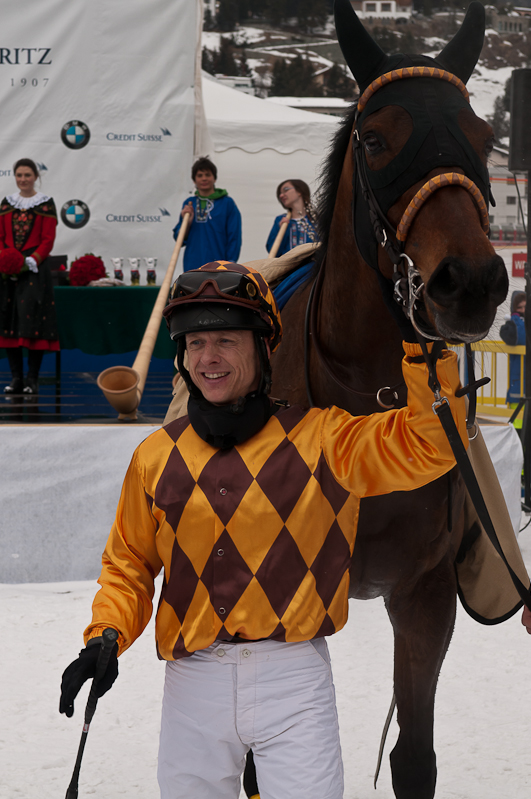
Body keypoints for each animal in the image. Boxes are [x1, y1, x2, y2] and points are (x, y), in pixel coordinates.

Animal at [270, 1, 512, 799]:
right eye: (375, 140)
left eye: (485, 139)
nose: (472, 282)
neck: (369, 411)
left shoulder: (425, 594)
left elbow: (413, 757)